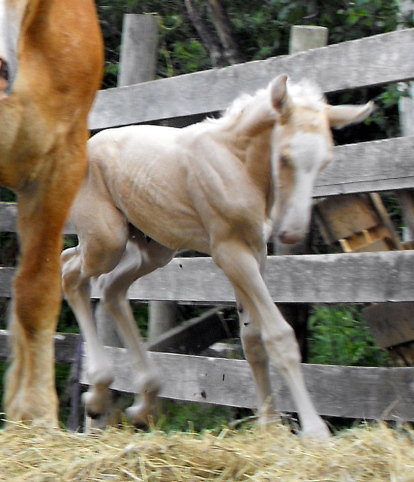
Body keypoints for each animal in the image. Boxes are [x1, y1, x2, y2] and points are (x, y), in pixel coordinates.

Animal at [62, 74, 376, 436]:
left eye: (325, 161)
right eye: (284, 158)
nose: (292, 234)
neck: (237, 164)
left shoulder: (255, 252)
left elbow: (252, 338)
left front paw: (269, 424)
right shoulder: (229, 252)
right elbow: (279, 335)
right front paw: (314, 431)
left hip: (155, 248)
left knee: (111, 288)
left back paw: (142, 402)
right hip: (108, 240)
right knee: (70, 271)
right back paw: (99, 393)